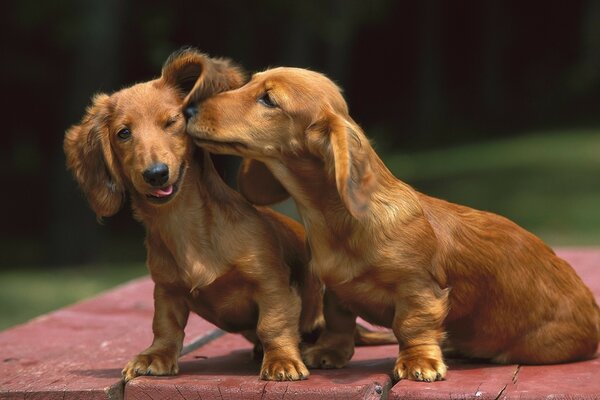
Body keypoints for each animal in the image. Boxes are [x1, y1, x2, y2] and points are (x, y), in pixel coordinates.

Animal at [185, 67, 596, 382]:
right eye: (250, 83)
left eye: (268, 100)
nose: (188, 108)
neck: (333, 221)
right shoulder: (336, 290)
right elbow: (338, 321)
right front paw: (329, 352)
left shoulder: (418, 290)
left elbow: (412, 326)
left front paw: (418, 362)